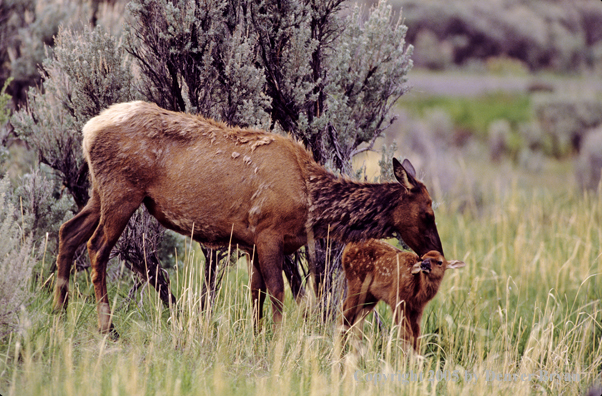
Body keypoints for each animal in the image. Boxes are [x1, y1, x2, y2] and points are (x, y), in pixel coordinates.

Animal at [54, 100, 442, 336]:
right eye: (427, 212)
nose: (437, 255)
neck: (311, 204)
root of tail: (89, 129)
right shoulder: (269, 235)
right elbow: (277, 293)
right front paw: (279, 339)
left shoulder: (254, 243)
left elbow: (256, 295)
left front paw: (257, 337)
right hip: (122, 192)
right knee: (96, 247)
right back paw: (108, 328)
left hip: (98, 193)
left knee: (67, 232)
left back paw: (59, 310)